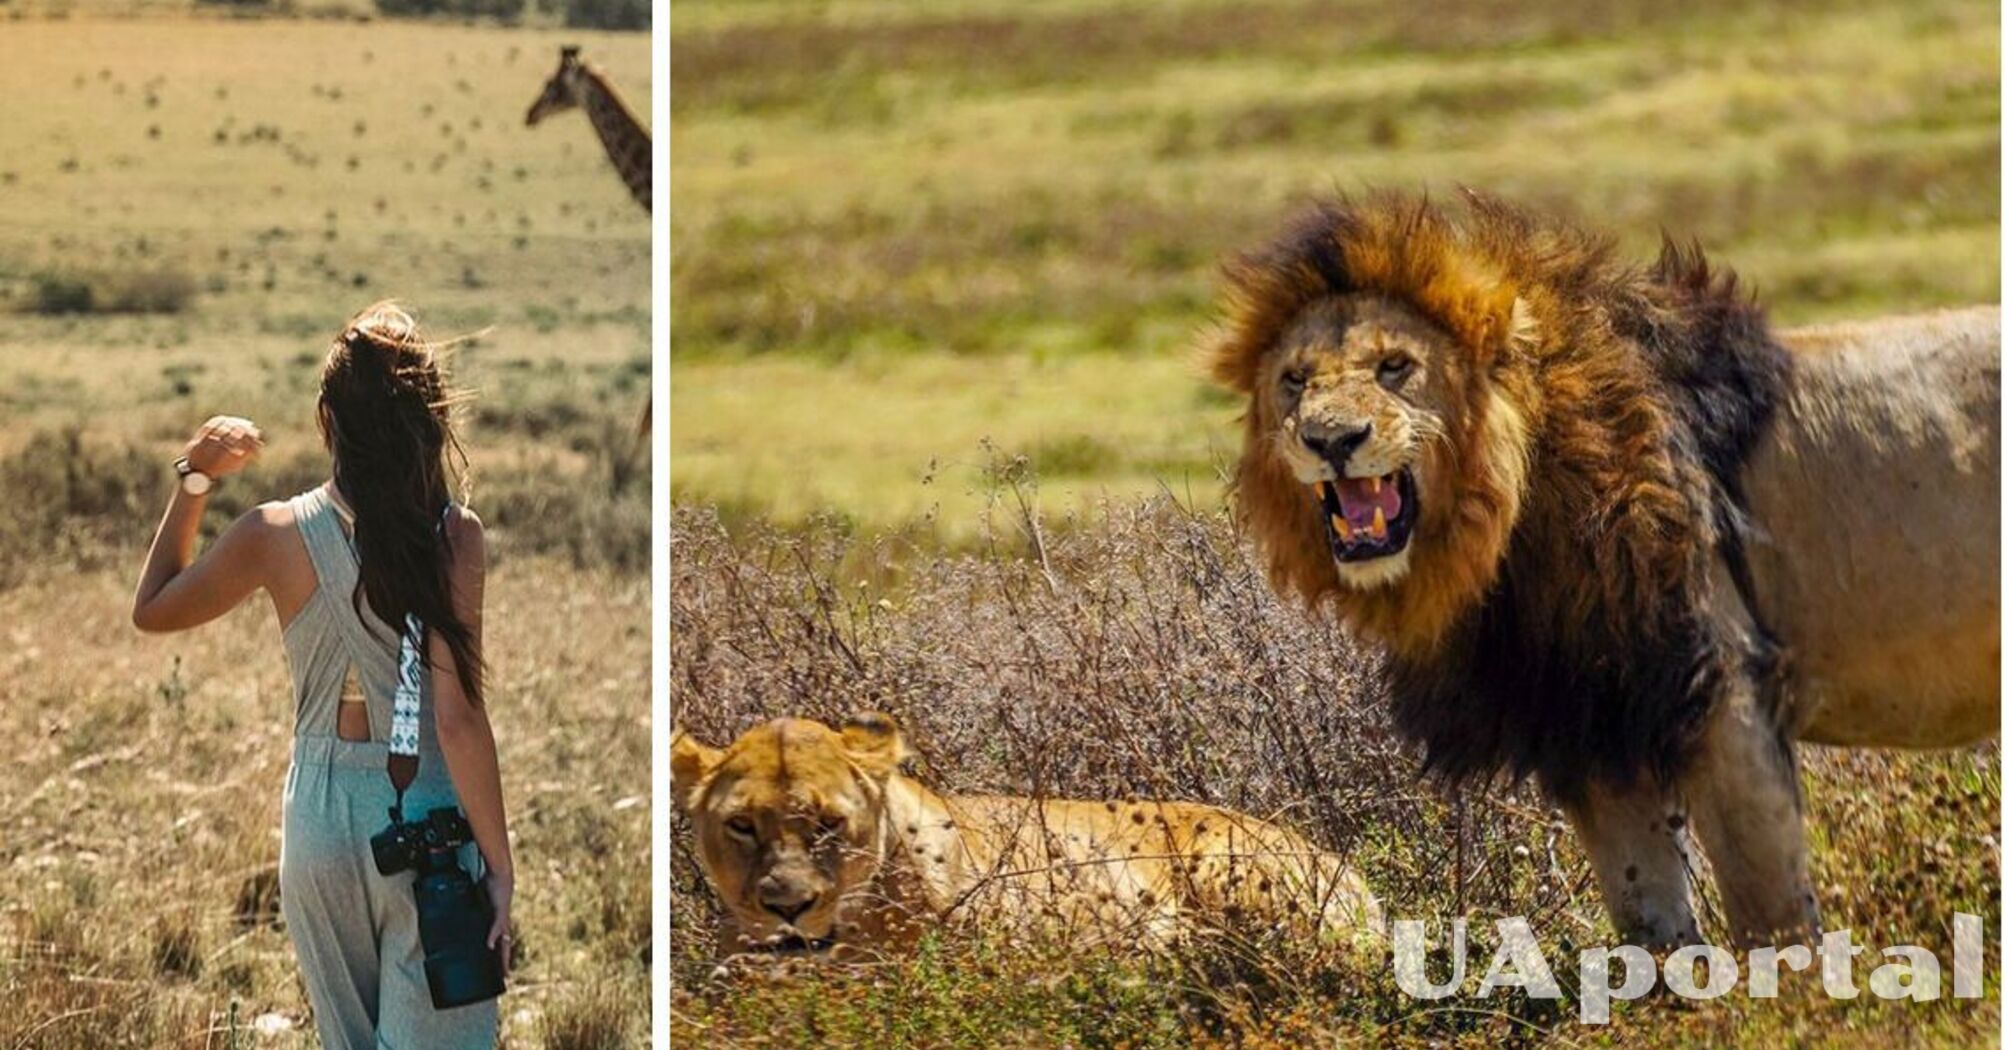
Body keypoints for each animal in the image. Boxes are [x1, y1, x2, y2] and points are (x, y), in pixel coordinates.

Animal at [1206, 190, 1993, 949]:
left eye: (1394, 366)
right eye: (1295, 380)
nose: (1331, 440)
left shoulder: (1726, 697)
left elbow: (1772, 923)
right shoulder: (1593, 732)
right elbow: (1651, 932)